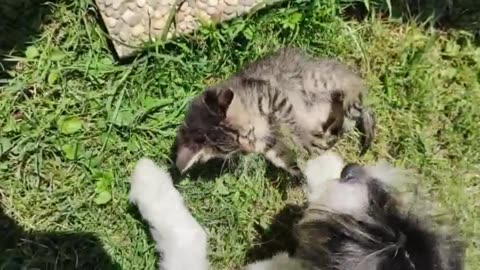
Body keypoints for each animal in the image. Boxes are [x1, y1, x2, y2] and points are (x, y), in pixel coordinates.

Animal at [175, 47, 376, 176]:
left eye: (245, 135)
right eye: (232, 151)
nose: (248, 151)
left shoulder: (273, 96)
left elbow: (291, 122)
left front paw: (304, 139)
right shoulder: (270, 143)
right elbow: (281, 157)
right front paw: (301, 171)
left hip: (315, 79)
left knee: (354, 83)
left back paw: (350, 94)